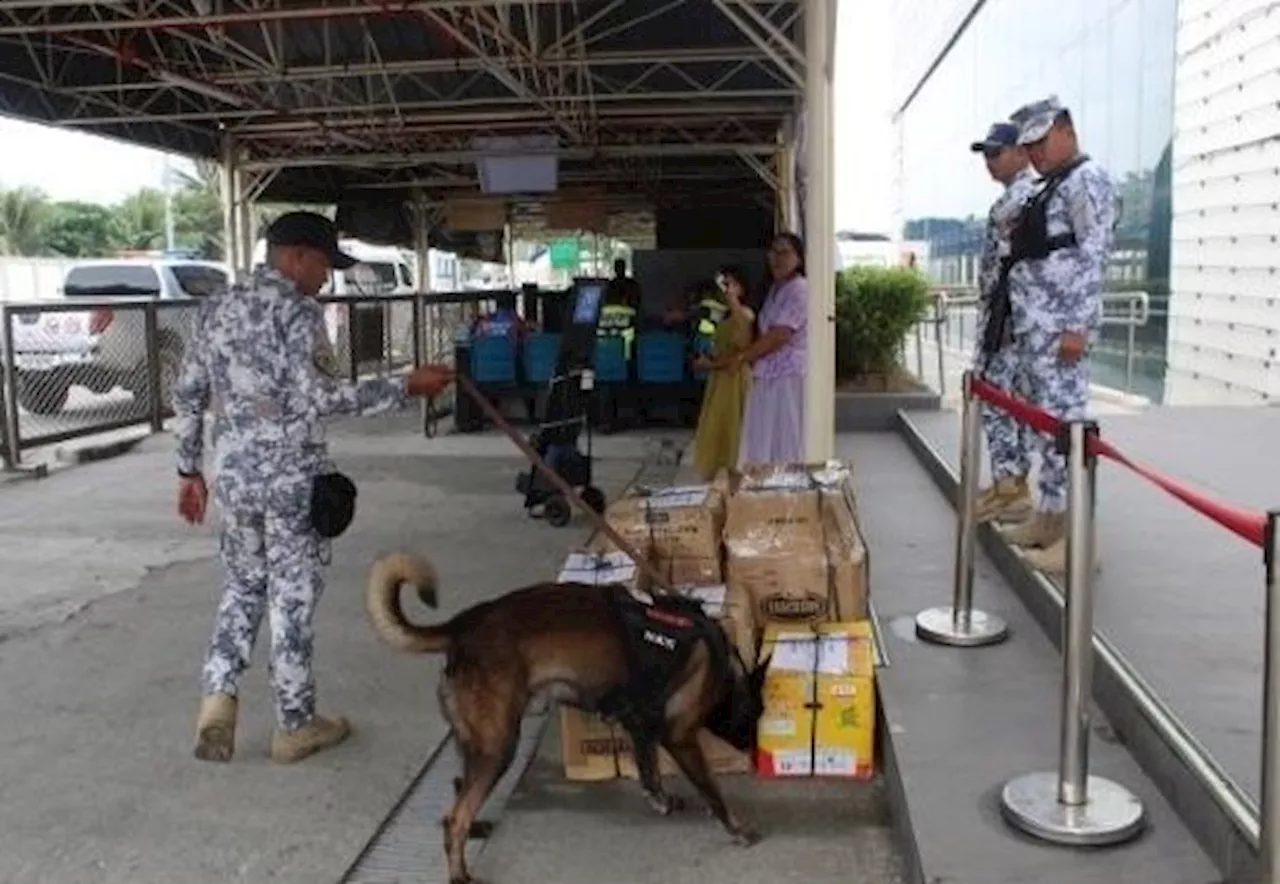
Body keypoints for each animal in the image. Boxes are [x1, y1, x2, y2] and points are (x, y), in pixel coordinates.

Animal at [371, 550, 768, 880]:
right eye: (755, 714)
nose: (750, 747)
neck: (722, 665)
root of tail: (465, 624)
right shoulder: (680, 736)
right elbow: (711, 790)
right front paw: (736, 827)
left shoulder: (640, 726)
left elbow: (649, 771)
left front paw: (661, 799)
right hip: (498, 746)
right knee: (456, 818)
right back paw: (460, 872)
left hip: (477, 742)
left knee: (457, 793)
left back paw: (477, 828)